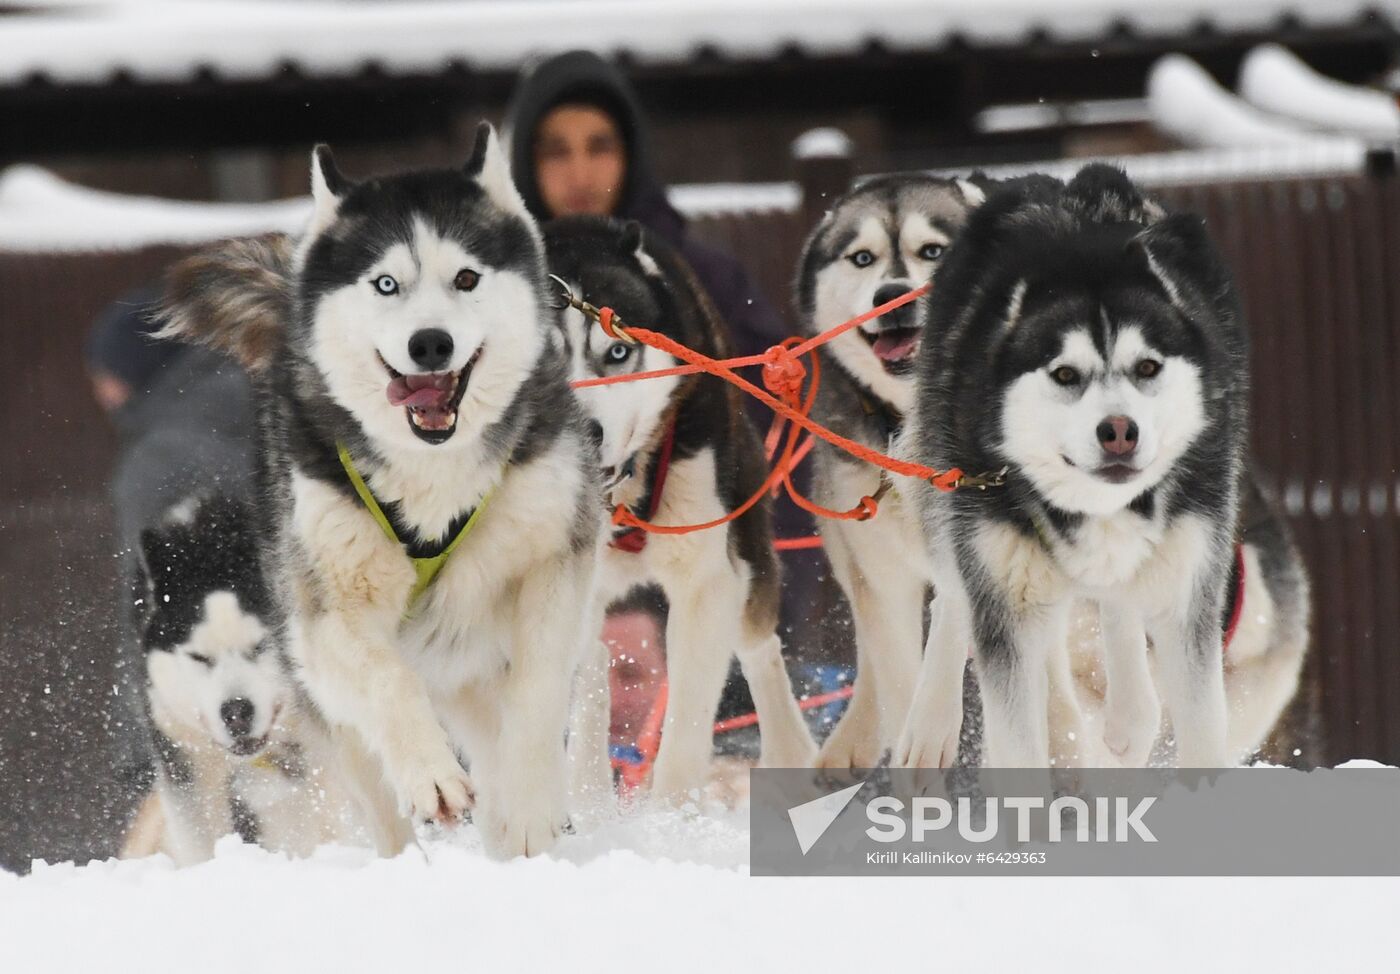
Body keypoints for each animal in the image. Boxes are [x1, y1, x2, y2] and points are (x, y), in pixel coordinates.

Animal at [161, 123, 599, 862]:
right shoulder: (329, 619)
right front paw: (432, 777)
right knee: (382, 797)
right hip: (336, 722)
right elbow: (387, 680)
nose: (431, 344)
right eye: (386, 283)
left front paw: (530, 806)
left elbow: (537, 688)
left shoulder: (552, 563)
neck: (433, 473)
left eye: (466, 277)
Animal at [540, 218, 817, 800]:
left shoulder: (706, 583)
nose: (587, 434)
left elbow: (684, 733)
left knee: (758, 650)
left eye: (618, 354)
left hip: (747, 549)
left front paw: (670, 813)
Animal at [789, 174, 985, 766]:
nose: (889, 295)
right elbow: (897, 671)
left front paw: (933, 728)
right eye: (862, 258)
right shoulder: (881, 570)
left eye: (933, 251)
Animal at [896, 165, 1260, 766]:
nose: (1119, 431)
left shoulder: (1189, 589)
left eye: (1147, 367)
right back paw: (929, 726)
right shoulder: (1007, 604)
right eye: (1065, 374)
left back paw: (1131, 712)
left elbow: (1203, 732)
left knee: (1119, 607)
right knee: (952, 596)